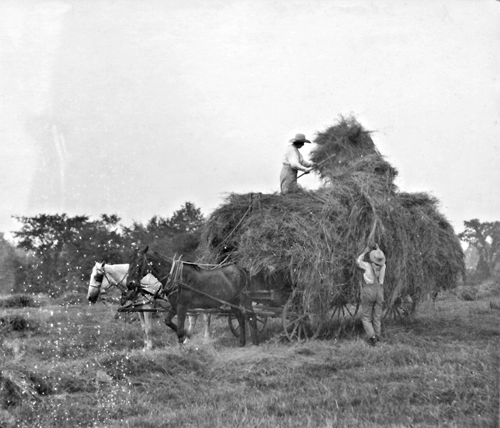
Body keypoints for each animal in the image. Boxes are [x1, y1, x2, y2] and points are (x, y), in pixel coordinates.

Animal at [125, 247, 260, 348]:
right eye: (129, 263)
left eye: (138, 263)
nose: (130, 284)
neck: (177, 279)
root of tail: (241, 269)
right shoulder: (175, 306)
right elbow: (168, 322)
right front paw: (187, 335)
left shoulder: (182, 307)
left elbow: (180, 330)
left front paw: (183, 344)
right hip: (233, 300)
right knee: (241, 317)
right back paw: (242, 342)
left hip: (245, 297)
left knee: (251, 316)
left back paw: (255, 342)